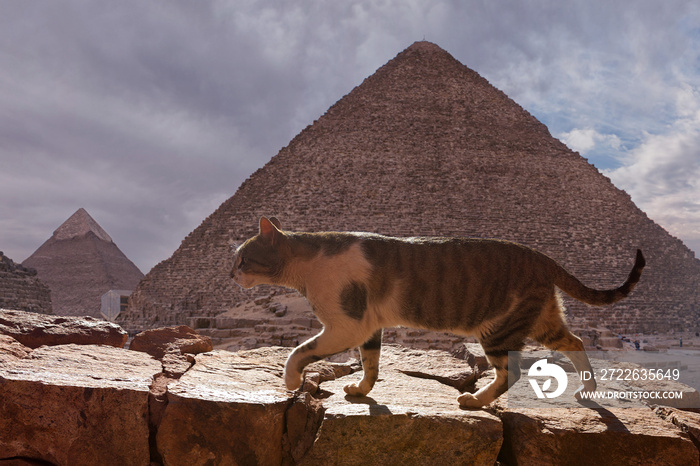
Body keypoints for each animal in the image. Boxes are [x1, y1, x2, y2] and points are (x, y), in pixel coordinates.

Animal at [231, 217, 644, 406]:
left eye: (242, 258)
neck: (307, 264)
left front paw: (290, 382)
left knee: (509, 372)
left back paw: (476, 401)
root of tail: (542, 257)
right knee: (574, 341)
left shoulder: (345, 325)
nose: (230, 273)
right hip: (540, 319)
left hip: (498, 328)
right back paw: (588, 389)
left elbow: (298, 352)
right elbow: (371, 363)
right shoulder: (368, 327)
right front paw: (362, 390)